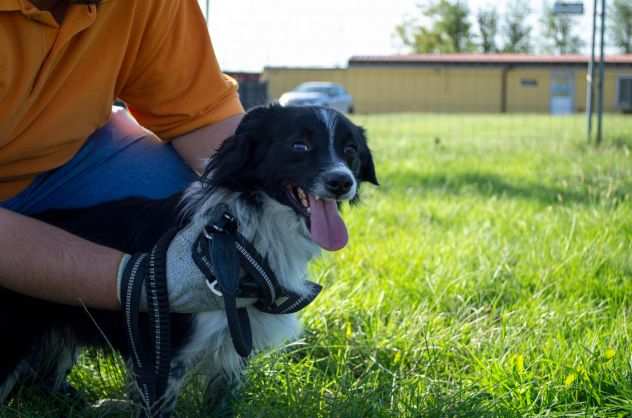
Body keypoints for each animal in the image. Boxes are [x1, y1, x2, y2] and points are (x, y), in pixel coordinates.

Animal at [0, 103, 378, 414]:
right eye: (299, 146)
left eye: (350, 150)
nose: (342, 182)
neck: (244, 233)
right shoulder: (162, 355)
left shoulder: (232, 350)